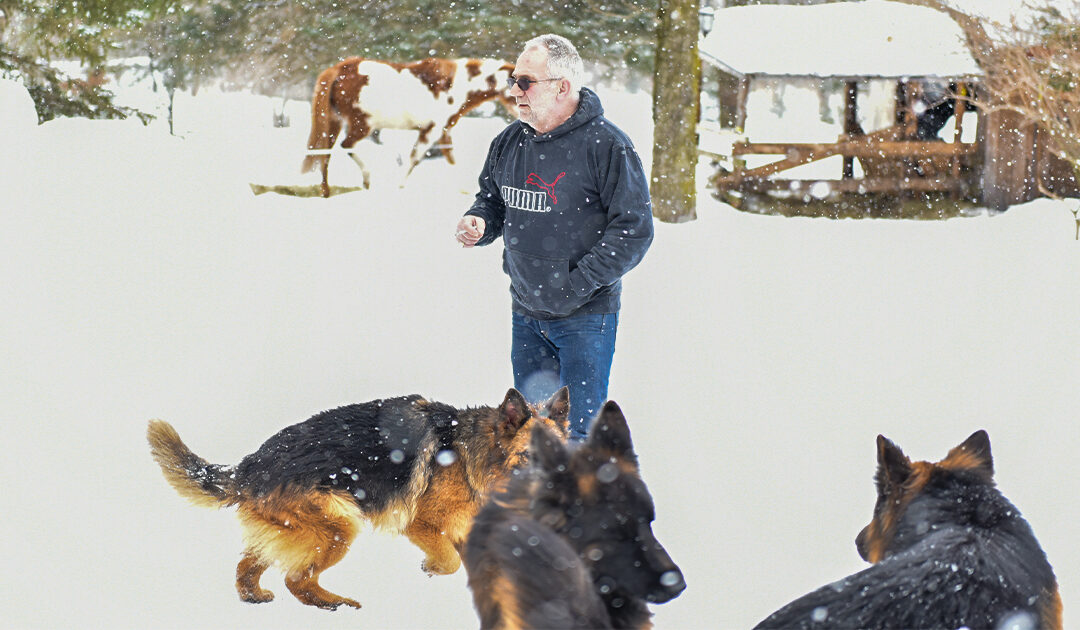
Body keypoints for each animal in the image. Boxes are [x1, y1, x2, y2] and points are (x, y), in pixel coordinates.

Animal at [298, 58, 511, 198]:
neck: (454, 85)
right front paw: (398, 187)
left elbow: (450, 157)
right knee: (345, 145)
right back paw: (367, 179)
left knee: (326, 154)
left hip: (333, 121)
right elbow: (414, 159)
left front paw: (465, 189)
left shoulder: (444, 130)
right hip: (362, 124)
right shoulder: (431, 130)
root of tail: (340, 68)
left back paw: (327, 192)